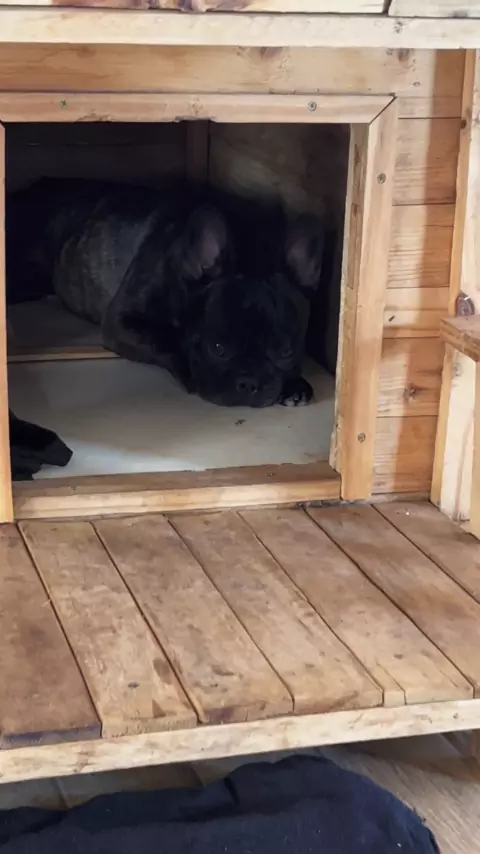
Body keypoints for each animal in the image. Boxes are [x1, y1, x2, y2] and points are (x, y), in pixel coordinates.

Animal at [7, 178, 326, 408]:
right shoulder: (122, 321)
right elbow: (165, 338)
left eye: (286, 352)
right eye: (217, 348)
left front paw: (294, 383)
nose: (249, 383)